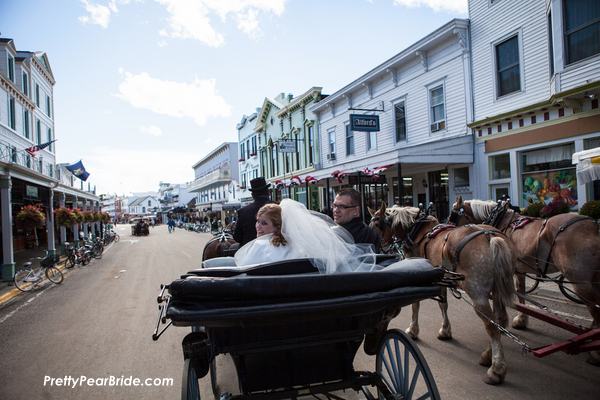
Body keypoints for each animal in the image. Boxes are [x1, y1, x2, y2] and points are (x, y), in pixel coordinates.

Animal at [370, 203, 516, 384]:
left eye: (377, 225)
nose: (373, 247)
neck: (416, 229)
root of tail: (491, 237)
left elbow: (418, 305)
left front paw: (414, 330)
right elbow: (443, 304)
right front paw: (445, 330)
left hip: (478, 293)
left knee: (492, 326)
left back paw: (496, 369)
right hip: (497, 289)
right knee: (500, 320)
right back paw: (488, 355)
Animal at [452, 197, 596, 366]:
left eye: (453, 213)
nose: (447, 226)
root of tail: (594, 226)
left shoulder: (512, 271)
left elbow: (514, 295)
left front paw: (510, 321)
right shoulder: (518, 270)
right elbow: (520, 291)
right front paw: (519, 320)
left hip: (580, 280)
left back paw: (594, 352)